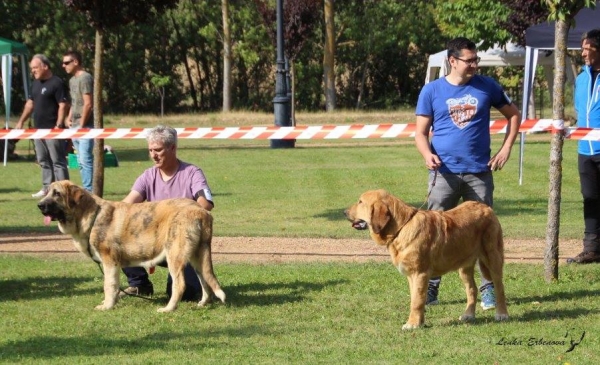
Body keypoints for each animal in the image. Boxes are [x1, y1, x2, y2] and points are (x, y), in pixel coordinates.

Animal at [37, 181, 225, 312]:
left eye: (57, 194)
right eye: (46, 193)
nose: (39, 205)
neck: (91, 215)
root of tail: (201, 210)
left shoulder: (110, 261)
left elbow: (108, 285)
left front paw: (106, 306)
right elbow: (113, 286)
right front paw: (111, 302)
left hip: (175, 256)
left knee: (180, 285)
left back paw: (168, 309)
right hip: (197, 257)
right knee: (205, 281)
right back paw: (202, 303)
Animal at [344, 189, 508, 328]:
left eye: (360, 202)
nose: (344, 212)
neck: (401, 228)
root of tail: (486, 207)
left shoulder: (420, 273)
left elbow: (416, 301)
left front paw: (412, 324)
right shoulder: (412, 275)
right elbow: (417, 299)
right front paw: (419, 322)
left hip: (492, 257)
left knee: (499, 287)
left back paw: (502, 314)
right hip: (464, 266)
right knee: (472, 289)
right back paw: (468, 315)